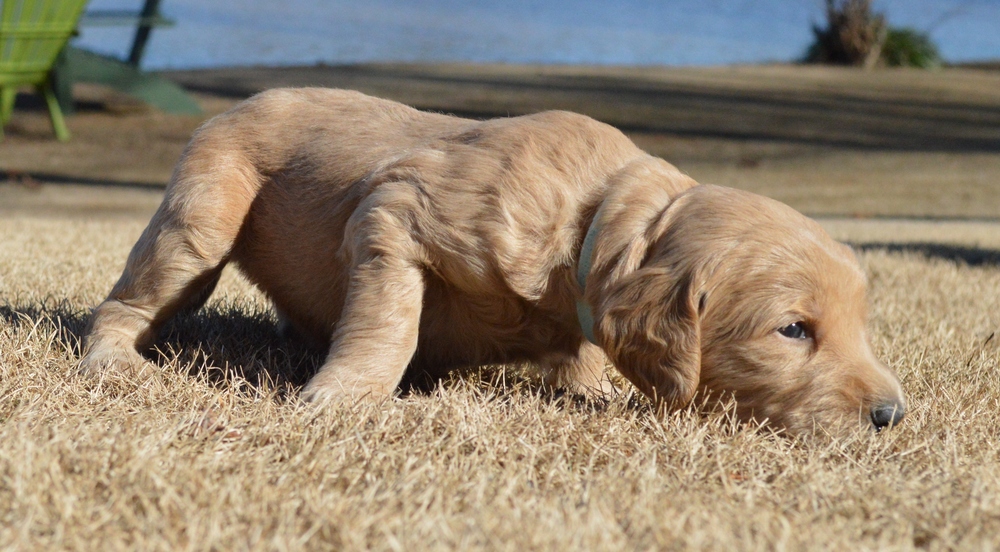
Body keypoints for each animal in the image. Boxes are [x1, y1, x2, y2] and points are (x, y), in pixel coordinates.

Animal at [80, 88, 908, 436]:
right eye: (793, 330)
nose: (892, 416)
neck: (591, 221)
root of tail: (230, 103)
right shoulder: (394, 211)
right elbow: (389, 324)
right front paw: (345, 397)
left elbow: (581, 357)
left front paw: (587, 388)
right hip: (201, 216)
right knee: (123, 305)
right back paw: (117, 361)